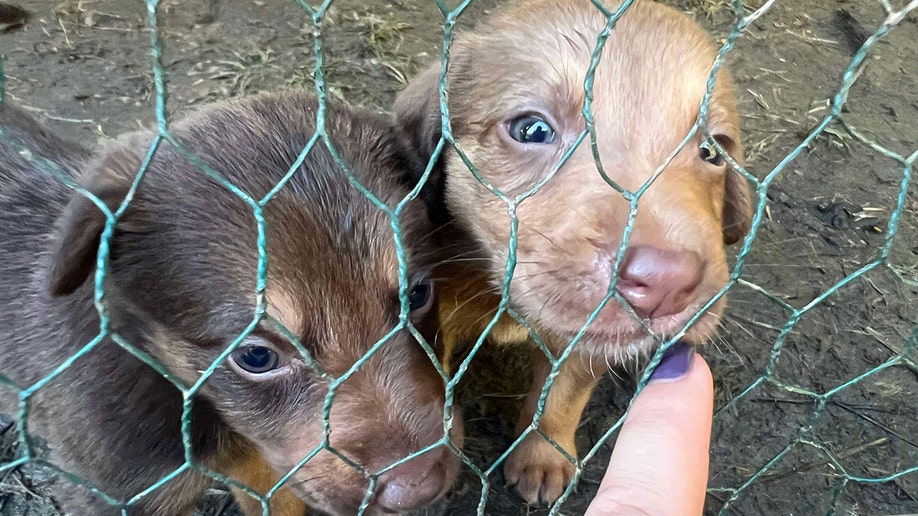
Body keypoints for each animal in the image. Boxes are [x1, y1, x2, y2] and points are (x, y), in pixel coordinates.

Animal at [396, 0, 756, 508]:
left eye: (712, 151)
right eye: (531, 129)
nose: (666, 281)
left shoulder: (588, 342)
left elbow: (562, 395)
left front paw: (542, 455)